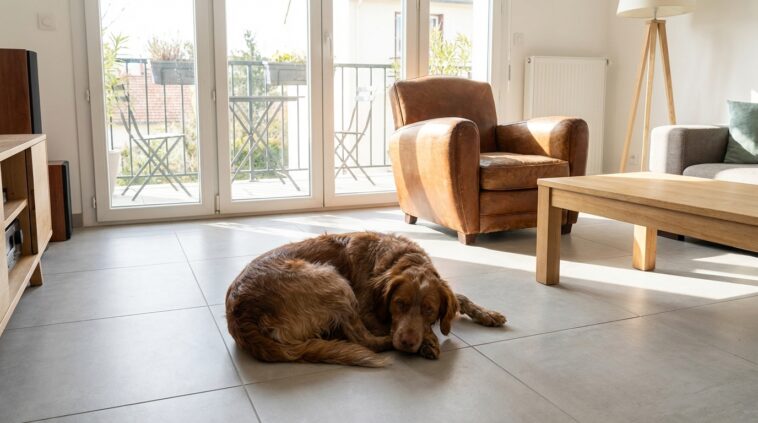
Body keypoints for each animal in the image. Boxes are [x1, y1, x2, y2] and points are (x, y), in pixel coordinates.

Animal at [226, 232, 506, 367]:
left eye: (429, 309)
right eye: (399, 304)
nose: (407, 342)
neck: (401, 258)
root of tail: (239, 314)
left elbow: (460, 297)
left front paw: (488, 314)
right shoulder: (366, 310)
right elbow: (388, 327)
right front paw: (427, 340)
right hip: (334, 280)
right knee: (365, 340)